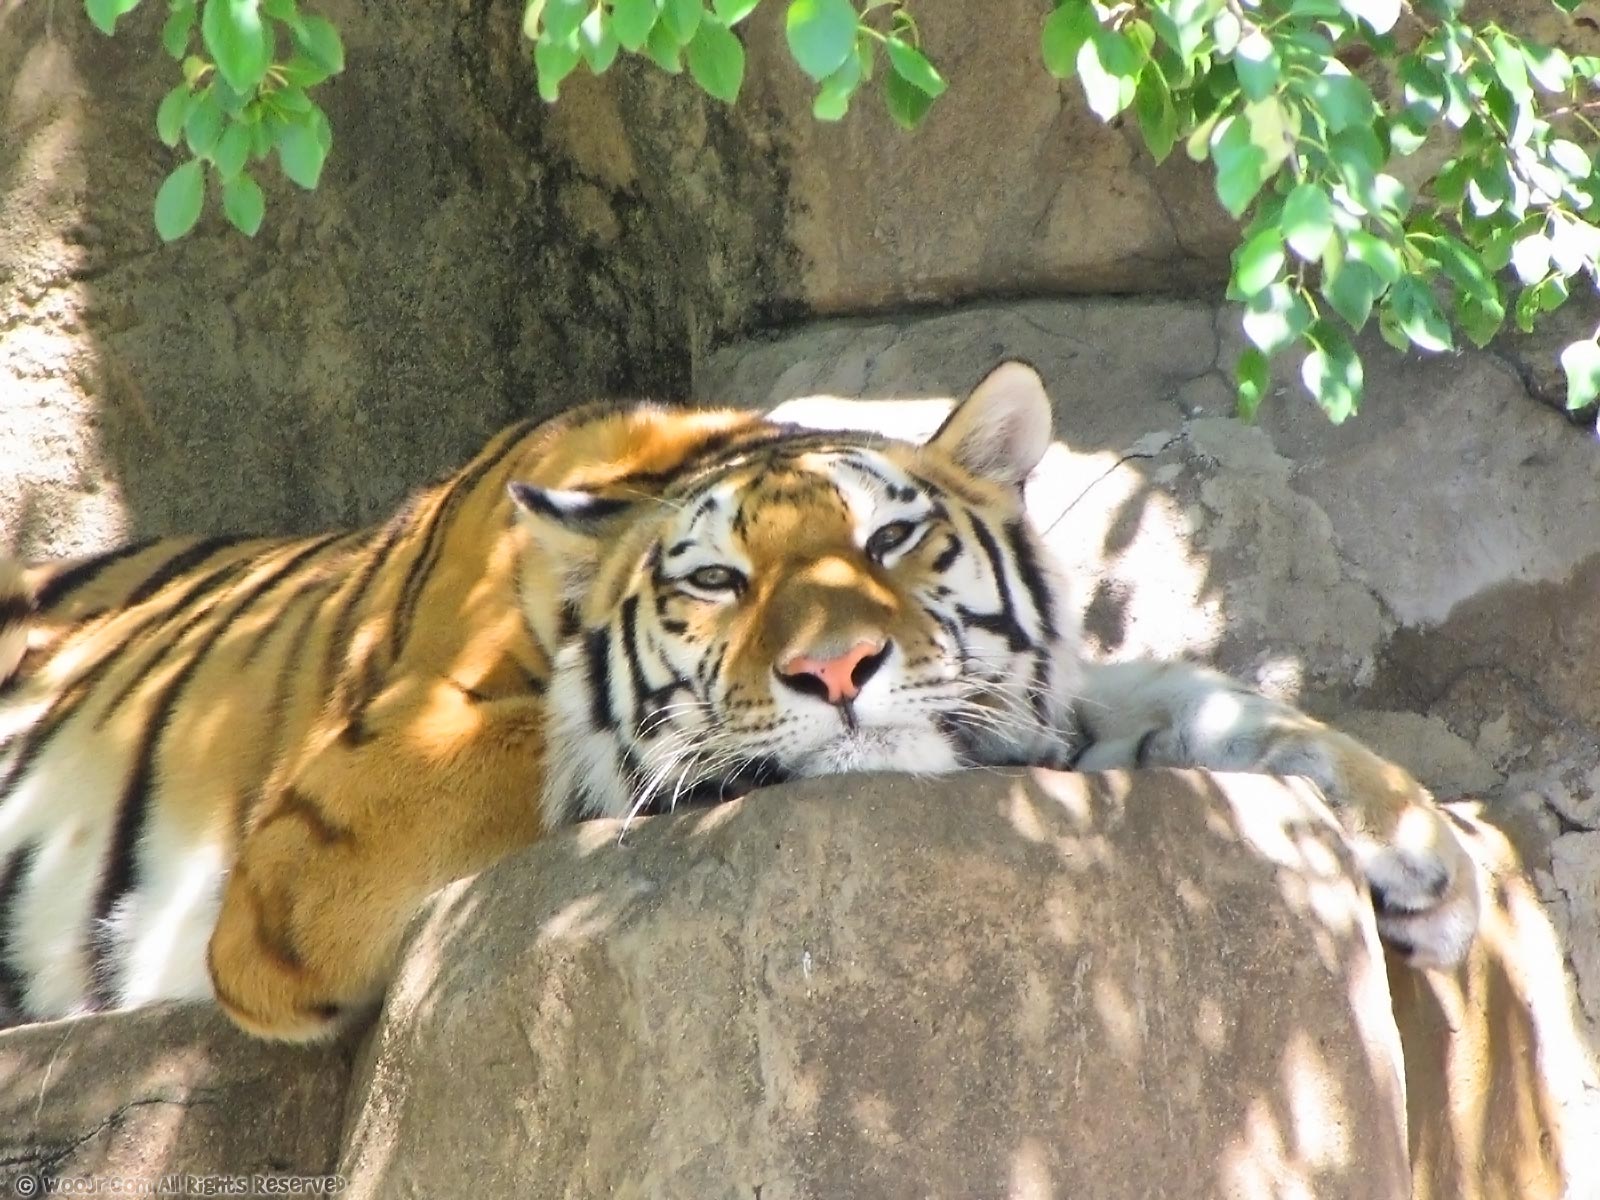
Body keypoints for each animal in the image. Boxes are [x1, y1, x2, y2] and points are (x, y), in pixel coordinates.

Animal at [0, 361, 1479, 1042]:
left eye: (892, 541)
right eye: (716, 579)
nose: (837, 671)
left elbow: (1177, 691)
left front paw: (1421, 849)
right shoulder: (314, 858)